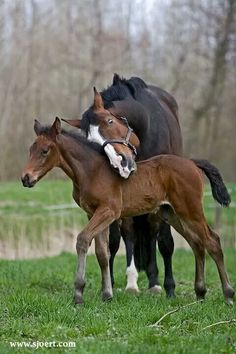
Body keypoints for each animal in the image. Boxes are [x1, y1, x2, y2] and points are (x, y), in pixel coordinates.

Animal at [21, 118, 234, 304]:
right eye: (30, 149)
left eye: (45, 151)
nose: (25, 178)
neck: (92, 171)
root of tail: (191, 163)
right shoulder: (93, 213)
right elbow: (102, 252)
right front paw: (107, 295)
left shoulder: (108, 211)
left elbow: (83, 240)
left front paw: (79, 294)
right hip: (173, 214)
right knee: (197, 244)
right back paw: (200, 293)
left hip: (191, 210)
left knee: (212, 241)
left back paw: (228, 295)